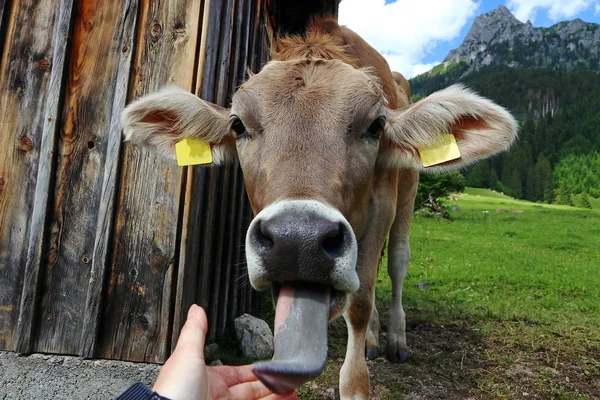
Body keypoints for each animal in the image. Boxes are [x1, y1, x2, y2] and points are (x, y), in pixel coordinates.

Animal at [122, 17, 516, 398]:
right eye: (237, 124)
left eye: (376, 125)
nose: (298, 241)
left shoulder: (382, 202)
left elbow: (361, 301)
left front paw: (356, 382)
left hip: (408, 191)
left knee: (397, 260)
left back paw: (395, 339)